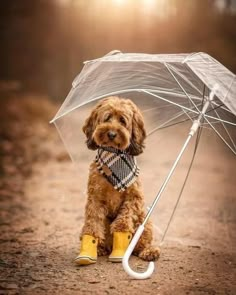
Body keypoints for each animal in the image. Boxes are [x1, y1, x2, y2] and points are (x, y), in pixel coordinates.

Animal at [74, 97, 159, 266]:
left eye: (122, 121)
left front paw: (120, 248)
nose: (112, 133)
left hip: (144, 221)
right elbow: (92, 223)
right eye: (107, 118)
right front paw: (89, 250)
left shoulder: (133, 198)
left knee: (140, 244)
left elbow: (123, 222)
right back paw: (100, 249)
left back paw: (148, 251)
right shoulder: (95, 198)